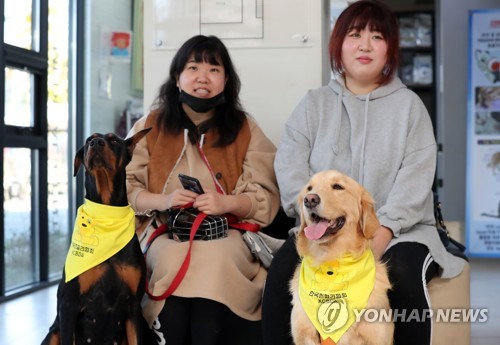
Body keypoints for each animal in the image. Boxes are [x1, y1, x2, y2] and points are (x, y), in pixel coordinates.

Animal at [41, 128, 150, 344]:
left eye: (114, 141)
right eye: (88, 140)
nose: (96, 143)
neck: (106, 215)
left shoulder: (134, 307)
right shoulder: (68, 305)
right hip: (53, 333)